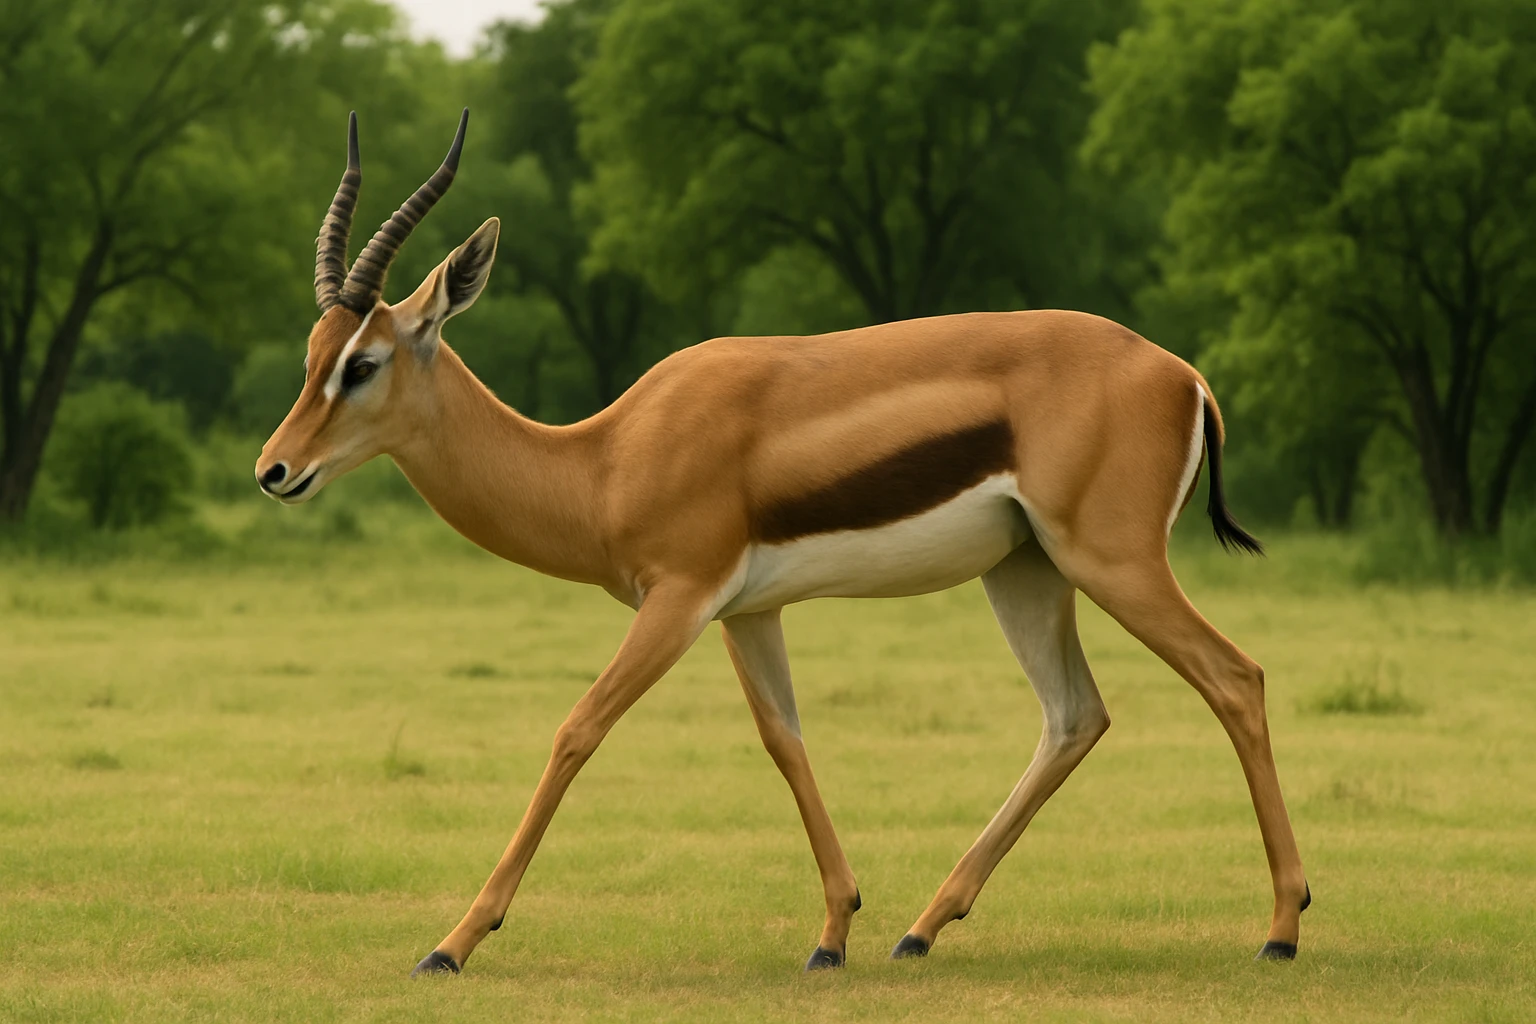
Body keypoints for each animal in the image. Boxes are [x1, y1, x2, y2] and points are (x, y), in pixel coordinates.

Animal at [256, 111, 1309, 978]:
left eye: (364, 363)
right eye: (311, 357)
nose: (274, 470)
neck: (603, 461)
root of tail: (1182, 374)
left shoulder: (679, 600)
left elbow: (577, 729)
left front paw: (452, 942)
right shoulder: (746, 611)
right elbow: (785, 740)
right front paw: (835, 932)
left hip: (1113, 563)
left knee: (1235, 678)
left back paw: (1281, 929)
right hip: (1027, 572)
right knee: (1074, 716)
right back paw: (922, 927)